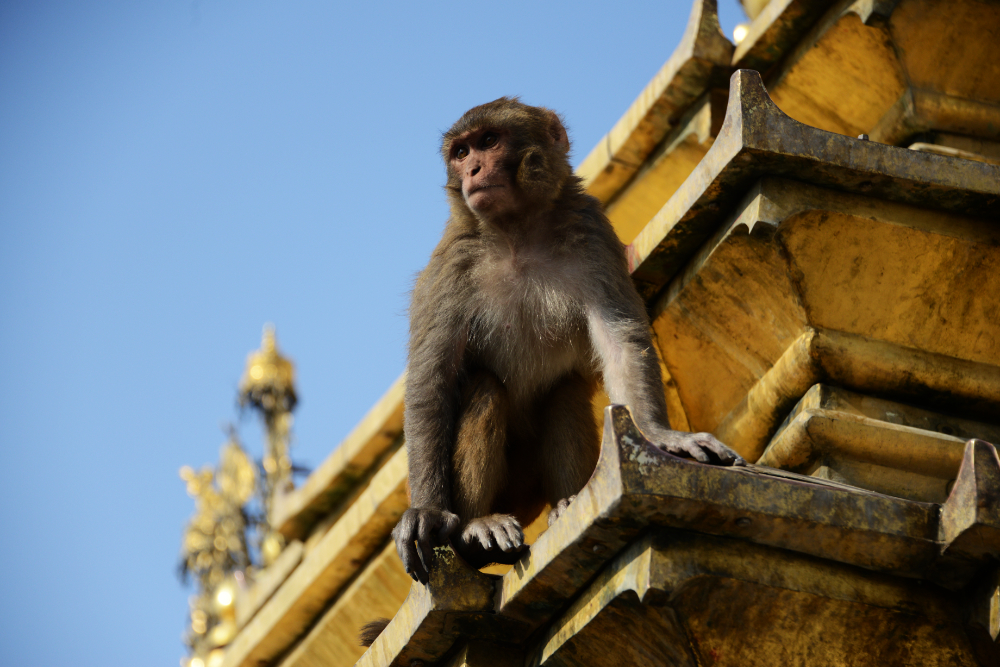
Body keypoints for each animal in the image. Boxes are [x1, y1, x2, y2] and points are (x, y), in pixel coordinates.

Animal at [392, 97, 744, 585]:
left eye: (488, 141)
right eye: (461, 153)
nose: (473, 170)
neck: (517, 231)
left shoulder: (591, 232)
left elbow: (619, 340)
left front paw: (660, 435)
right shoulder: (451, 266)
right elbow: (432, 381)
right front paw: (426, 511)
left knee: (565, 392)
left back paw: (567, 504)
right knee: (484, 388)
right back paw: (475, 528)